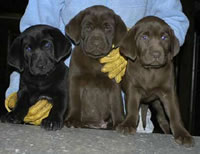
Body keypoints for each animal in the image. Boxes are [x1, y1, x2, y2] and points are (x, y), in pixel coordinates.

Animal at [117, 15, 194, 147]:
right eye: (144, 37)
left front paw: (183, 134)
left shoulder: (169, 93)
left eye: (164, 37)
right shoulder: (133, 89)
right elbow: (132, 108)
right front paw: (128, 124)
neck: (150, 70)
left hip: (159, 105)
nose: (156, 54)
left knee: (164, 121)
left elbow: (175, 114)